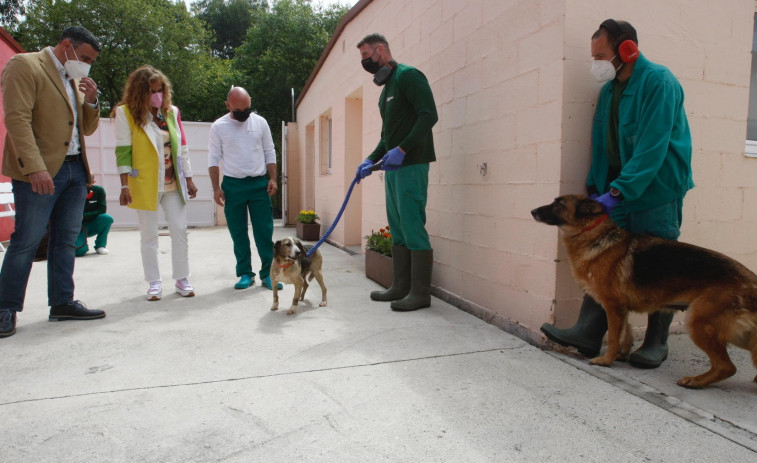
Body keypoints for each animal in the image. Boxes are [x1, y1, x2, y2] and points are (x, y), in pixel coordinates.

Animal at [532, 194, 756, 390]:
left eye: (559, 203)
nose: (532, 211)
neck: (593, 233)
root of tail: (751, 281)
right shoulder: (621, 309)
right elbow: (625, 332)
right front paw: (621, 354)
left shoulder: (612, 305)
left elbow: (613, 336)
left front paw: (606, 360)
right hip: (736, 332)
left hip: (700, 323)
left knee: (727, 366)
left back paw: (695, 381)